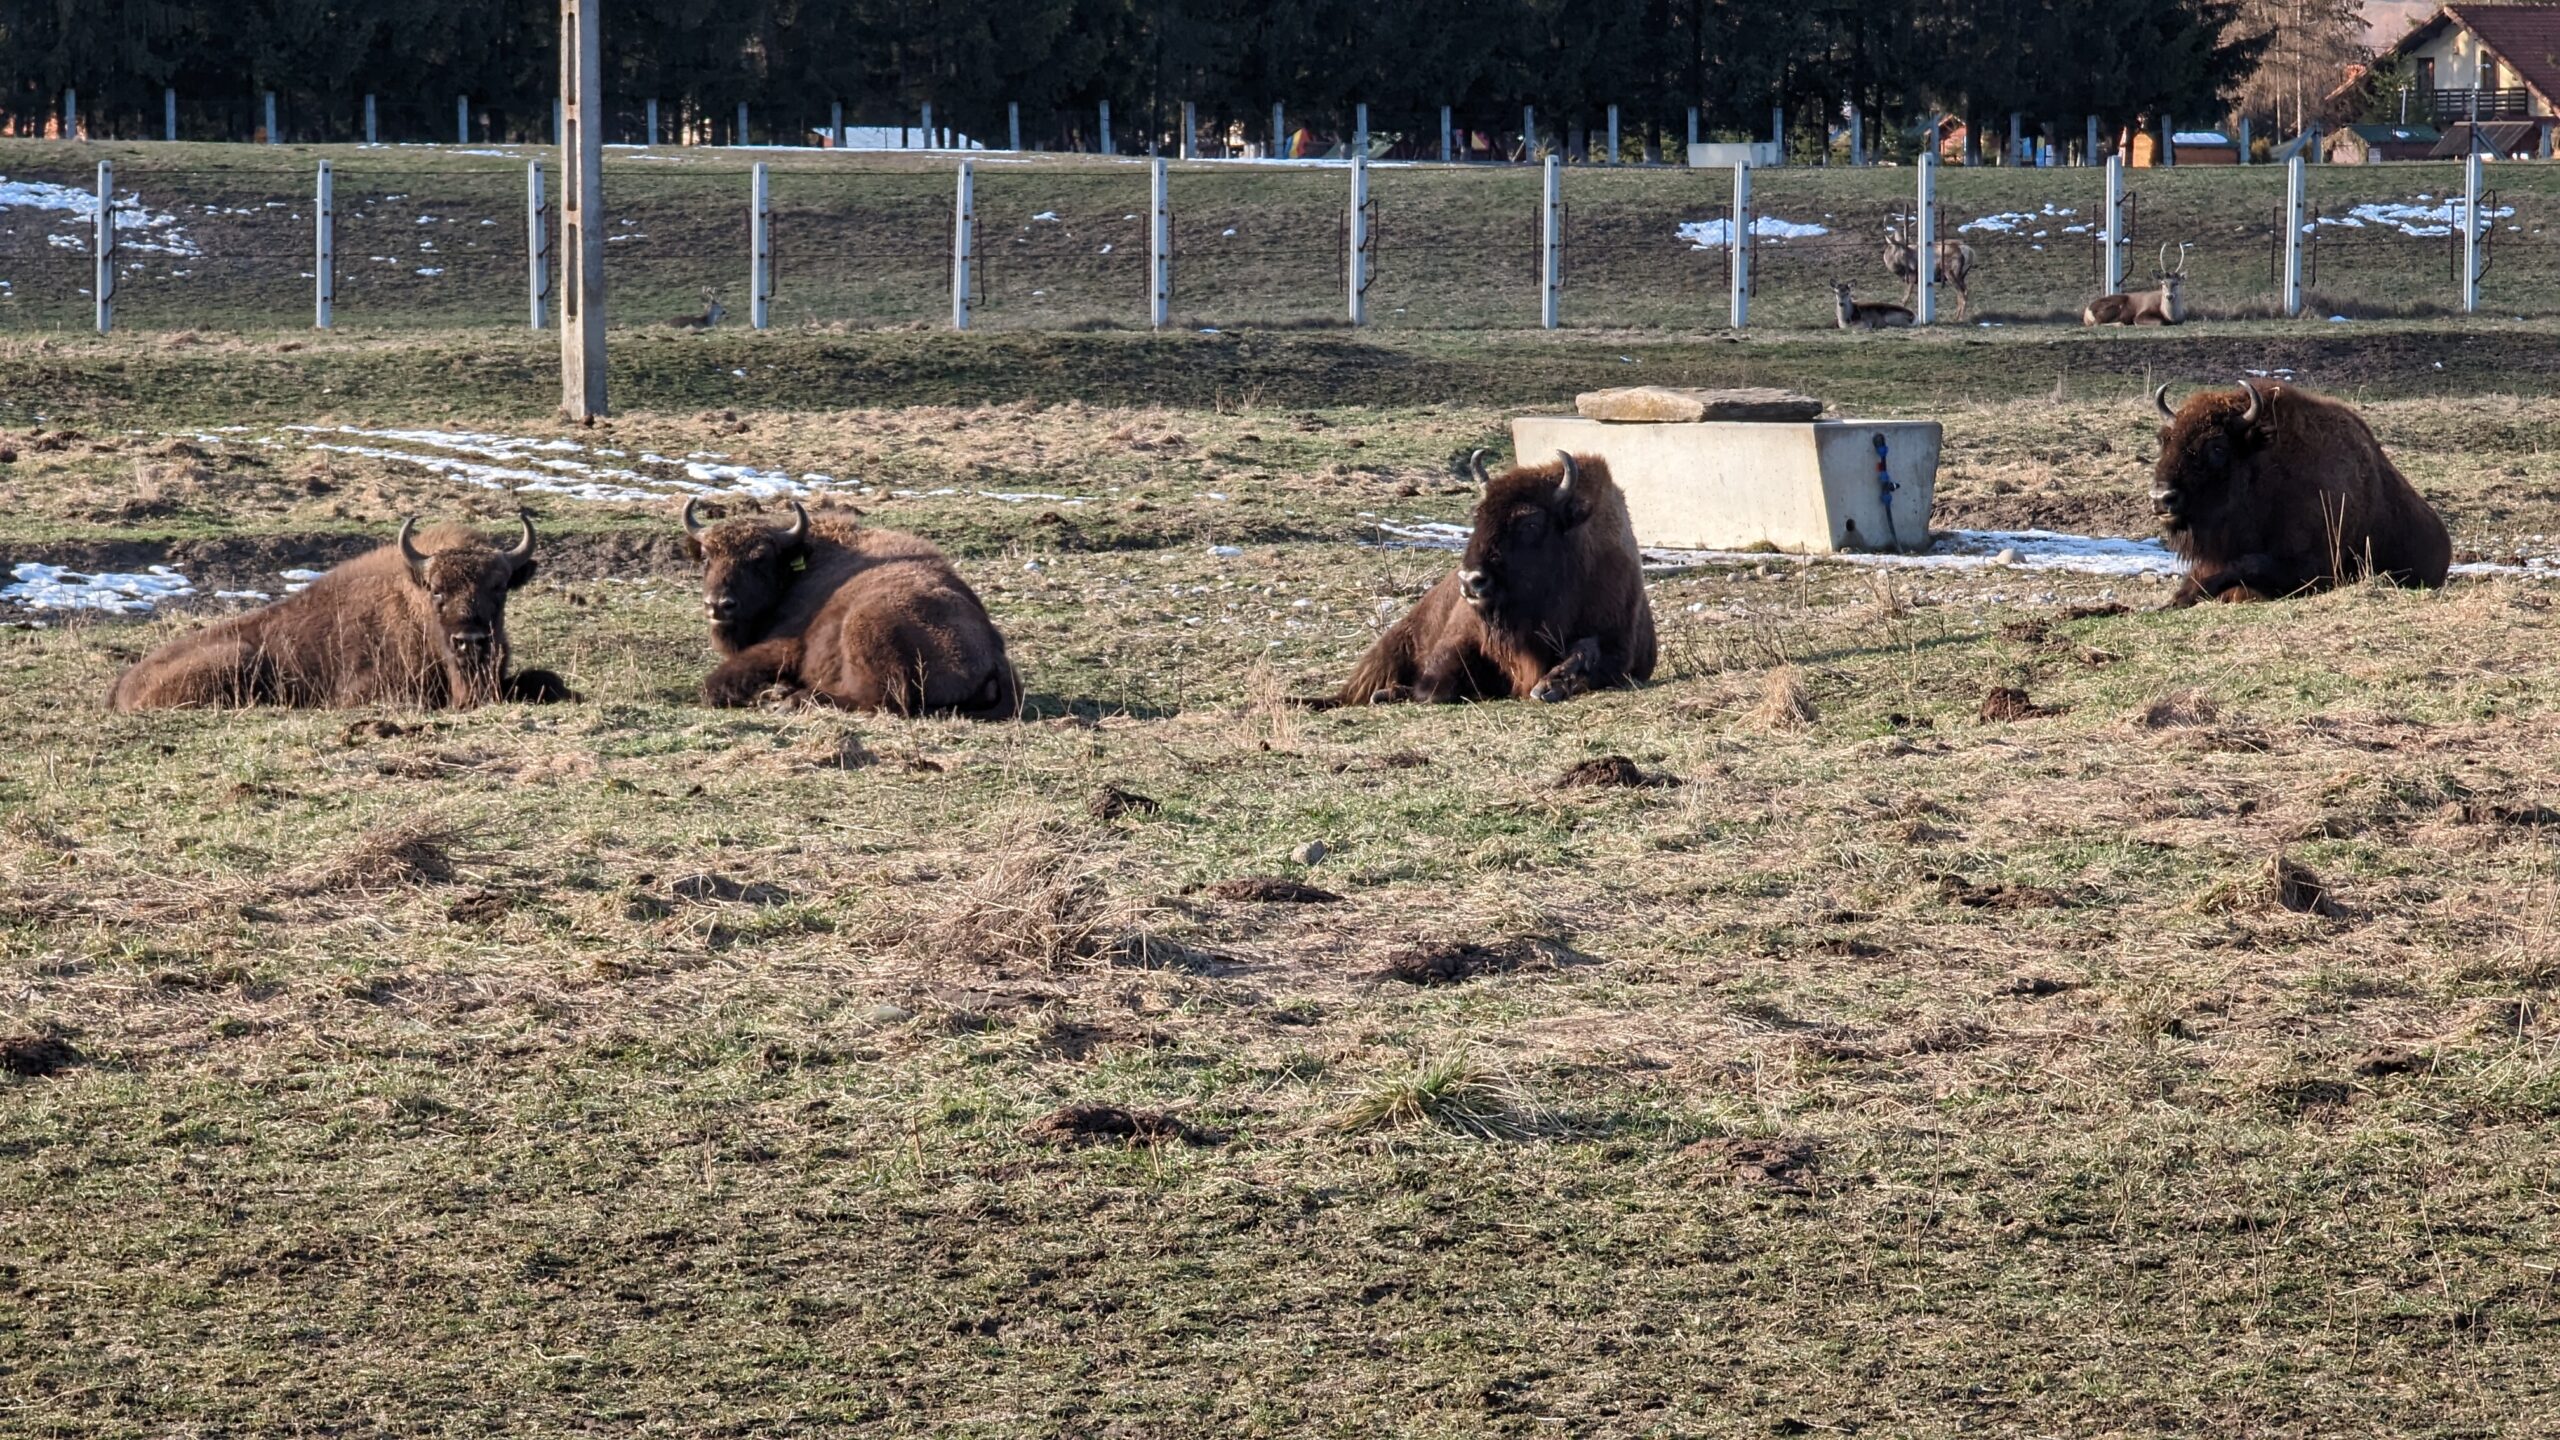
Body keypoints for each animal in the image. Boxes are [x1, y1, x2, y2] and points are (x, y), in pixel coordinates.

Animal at [109, 512, 570, 711]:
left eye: (500, 588)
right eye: (436, 591)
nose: (469, 641)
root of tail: (122, 685)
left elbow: (546, 679)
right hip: (235, 658)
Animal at [683, 497, 1021, 717]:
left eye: (760, 559)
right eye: (707, 557)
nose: (718, 605)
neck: (798, 566)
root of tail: (994, 657)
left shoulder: (783, 647)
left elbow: (714, 683)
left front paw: (770, 693)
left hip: (863, 627)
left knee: (877, 699)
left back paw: (790, 700)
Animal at [1338, 450, 1655, 704]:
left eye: (1530, 522)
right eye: (1478, 516)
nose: (1471, 581)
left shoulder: (1618, 643)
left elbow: (1586, 652)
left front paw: (1548, 687)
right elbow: (1435, 685)